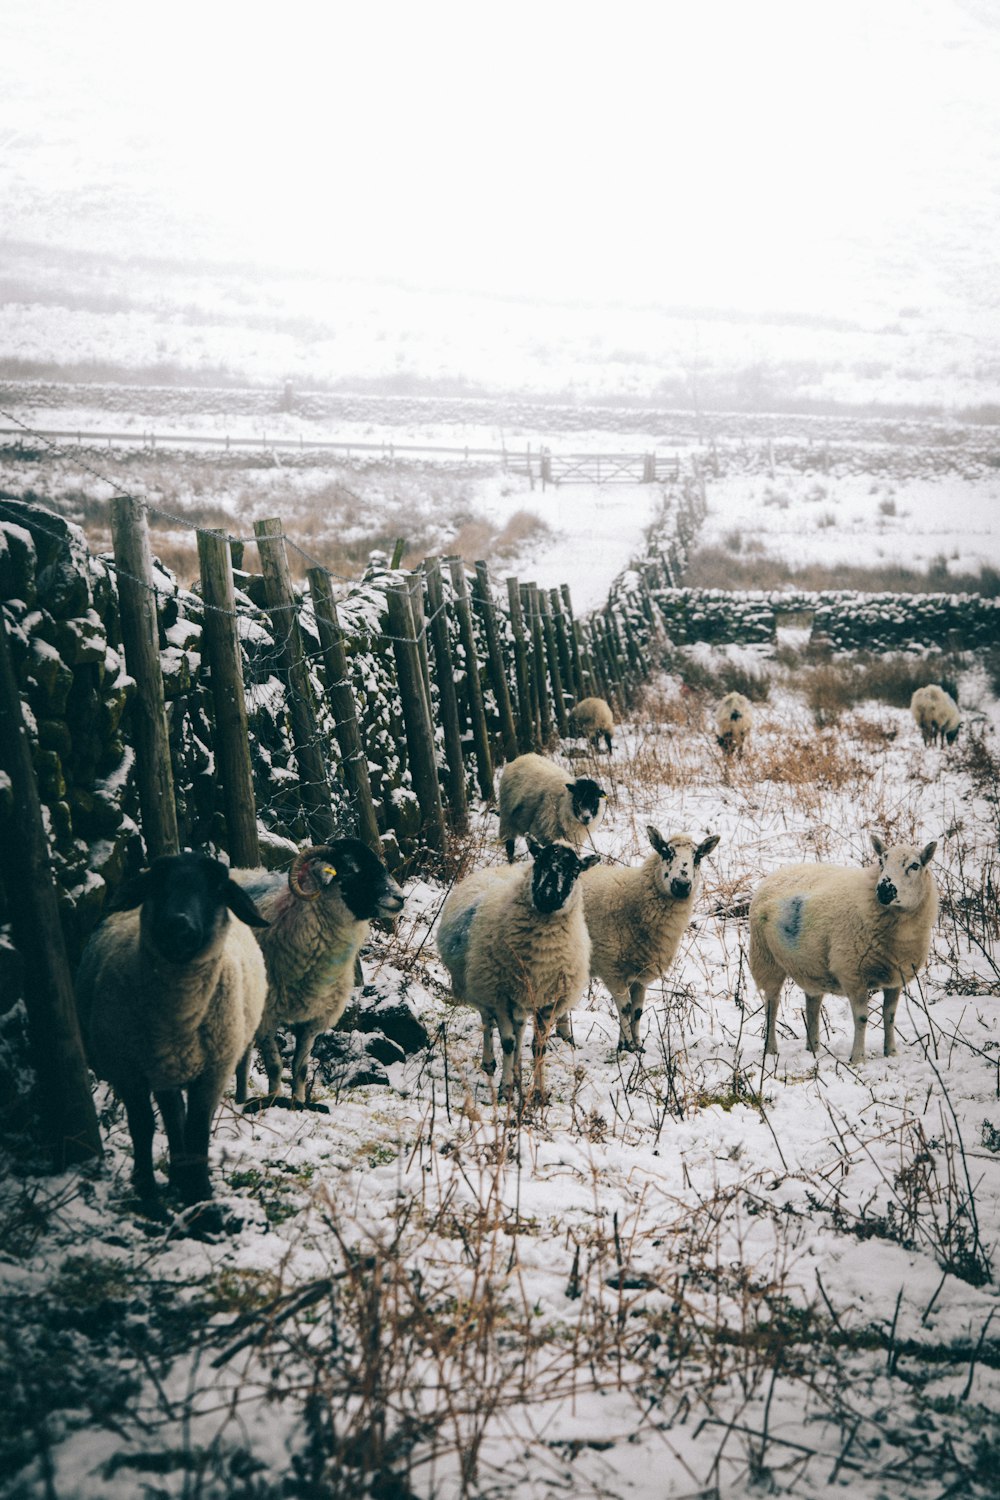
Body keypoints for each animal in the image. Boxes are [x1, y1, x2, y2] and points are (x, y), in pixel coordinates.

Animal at [74, 852, 271, 1224]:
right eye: (157, 883)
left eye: (217, 889)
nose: (179, 926)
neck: (179, 1013)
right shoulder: (128, 1072)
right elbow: (143, 1127)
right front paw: (150, 1196)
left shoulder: (214, 1072)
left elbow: (197, 1128)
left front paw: (200, 1192)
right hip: (161, 1068)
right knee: (170, 1112)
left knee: (181, 1115)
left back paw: (183, 1174)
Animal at [232, 840, 404, 1110]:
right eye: (350, 869)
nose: (400, 898)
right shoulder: (267, 1015)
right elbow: (275, 1064)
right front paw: (274, 1099)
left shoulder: (313, 1019)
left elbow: (300, 1067)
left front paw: (299, 1102)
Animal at [434, 840, 593, 1098]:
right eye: (539, 860)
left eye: (575, 870)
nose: (547, 896)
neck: (540, 956)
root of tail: (501, 868)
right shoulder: (500, 996)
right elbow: (506, 1042)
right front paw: (506, 1090)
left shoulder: (548, 1002)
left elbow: (538, 1047)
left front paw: (538, 1093)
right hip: (480, 985)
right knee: (488, 1022)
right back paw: (490, 1063)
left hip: (520, 997)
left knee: (519, 1029)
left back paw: (518, 1069)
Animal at [578, 822, 719, 1056]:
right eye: (666, 852)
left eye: (698, 857)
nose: (682, 884)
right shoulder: (611, 967)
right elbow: (625, 1008)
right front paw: (627, 1049)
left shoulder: (639, 973)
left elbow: (637, 1011)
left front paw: (635, 1045)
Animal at [749, 834, 941, 1068]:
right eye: (881, 861)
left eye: (915, 865)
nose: (884, 889)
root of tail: (778, 872)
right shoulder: (853, 973)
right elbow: (862, 1018)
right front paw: (857, 1058)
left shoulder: (896, 977)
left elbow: (890, 1016)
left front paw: (891, 1052)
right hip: (765, 958)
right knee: (771, 1005)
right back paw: (771, 1050)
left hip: (809, 965)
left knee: (812, 1004)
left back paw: (813, 1048)